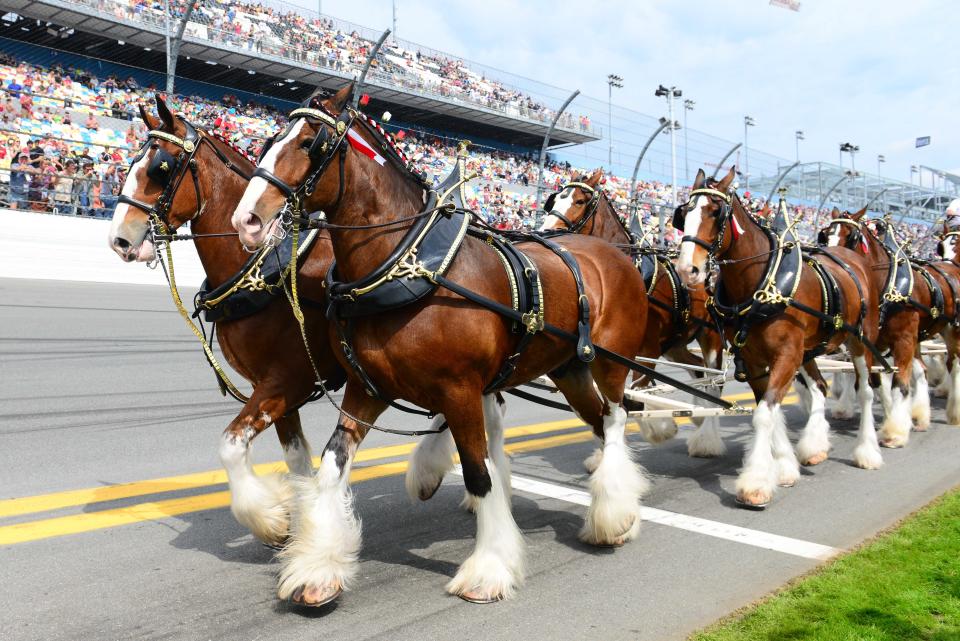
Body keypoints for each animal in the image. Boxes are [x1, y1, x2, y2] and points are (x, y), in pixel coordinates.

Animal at [233, 85, 652, 604]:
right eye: (270, 137)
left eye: (311, 143)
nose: (246, 220)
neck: (406, 264)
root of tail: (616, 255)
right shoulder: (366, 389)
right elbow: (331, 466)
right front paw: (317, 569)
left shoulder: (460, 389)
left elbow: (478, 472)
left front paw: (488, 569)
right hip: (568, 369)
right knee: (599, 423)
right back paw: (621, 513)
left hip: (610, 363)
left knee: (616, 419)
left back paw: (616, 513)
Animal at [676, 168, 884, 508]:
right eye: (684, 214)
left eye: (716, 213)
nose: (686, 269)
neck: (761, 285)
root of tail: (852, 259)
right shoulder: (754, 360)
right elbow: (768, 410)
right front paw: (784, 466)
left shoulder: (786, 355)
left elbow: (763, 414)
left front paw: (756, 483)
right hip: (809, 350)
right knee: (820, 386)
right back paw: (815, 446)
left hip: (859, 342)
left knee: (865, 391)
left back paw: (868, 451)